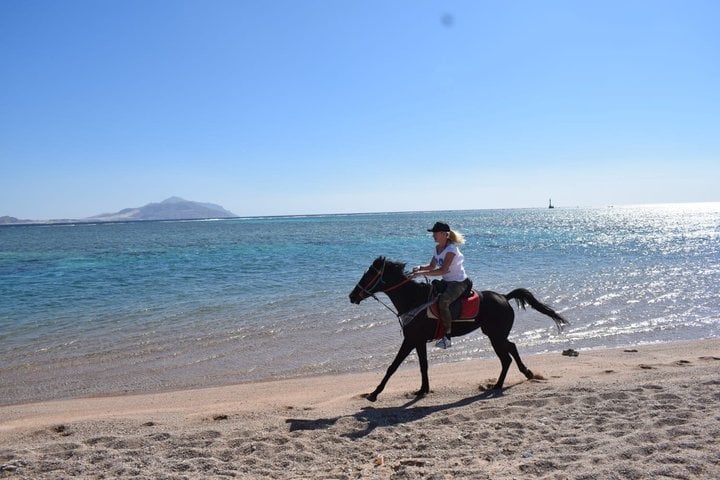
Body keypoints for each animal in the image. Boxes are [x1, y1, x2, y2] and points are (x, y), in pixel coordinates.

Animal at [348, 256, 568, 402]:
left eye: (369, 274)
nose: (352, 296)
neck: (413, 300)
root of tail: (504, 297)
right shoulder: (419, 341)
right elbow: (423, 366)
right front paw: (423, 390)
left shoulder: (410, 340)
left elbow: (392, 367)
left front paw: (374, 394)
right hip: (495, 335)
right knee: (511, 349)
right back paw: (523, 374)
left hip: (495, 336)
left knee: (506, 356)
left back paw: (500, 384)